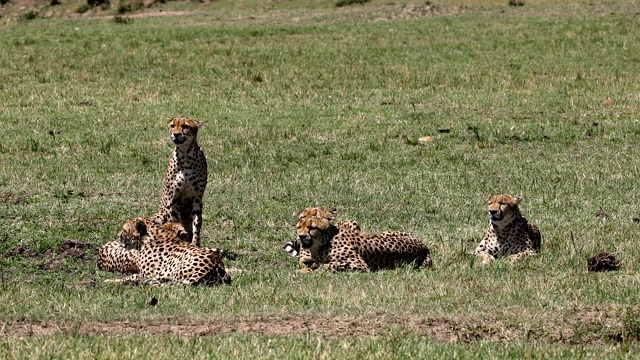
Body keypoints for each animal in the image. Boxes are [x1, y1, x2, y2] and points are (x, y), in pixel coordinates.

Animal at [101, 217, 229, 286]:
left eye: (124, 230)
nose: (118, 236)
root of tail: (217, 265)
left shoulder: (148, 273)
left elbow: (130, 277)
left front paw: (109, 280)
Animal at [152, 116, 208, 246]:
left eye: (185, 126)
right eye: (173, 125)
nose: (176, 134)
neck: (186, 154)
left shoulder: (197, 198)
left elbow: (196, 224)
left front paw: (195, 244)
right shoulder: (173, 198)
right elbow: (176, 221)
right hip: (159, 214)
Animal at [292, 207, 432, 272]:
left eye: (312, 227)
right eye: (299, 227)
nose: (301, 236)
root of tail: (425, 247)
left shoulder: (359, 265)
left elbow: (326, 266)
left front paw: (303, 271)